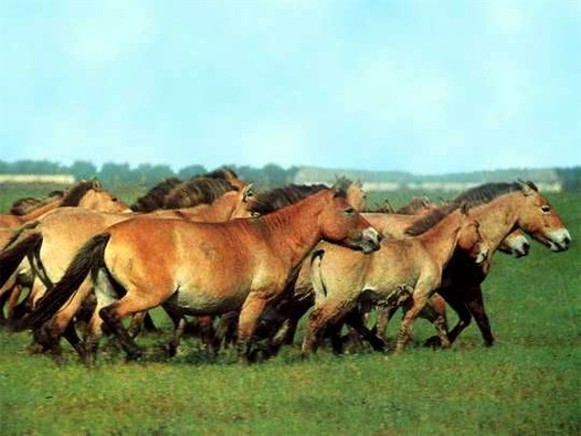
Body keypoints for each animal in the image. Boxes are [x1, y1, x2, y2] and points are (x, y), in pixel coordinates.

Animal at [17, 187, 380, 364]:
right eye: (348, 210)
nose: (376, 237)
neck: (271, 236)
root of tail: (109, 233)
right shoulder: (255, 300)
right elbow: (244, 334)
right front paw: (244, 363)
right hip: (144, 296)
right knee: (110, 317)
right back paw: (134, 353)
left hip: (107, 291)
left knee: (93, 328)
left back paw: (91, 363)